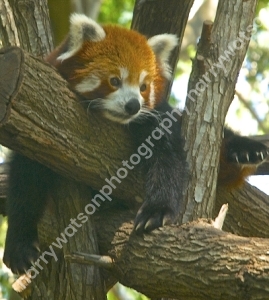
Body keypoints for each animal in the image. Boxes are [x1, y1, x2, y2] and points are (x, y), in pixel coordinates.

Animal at [4, 14, 268, 274]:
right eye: (114, 80)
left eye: (143, 87)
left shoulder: (156, 117)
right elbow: (25, 179)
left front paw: (156, 211)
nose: (133, 105)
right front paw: (20, 244)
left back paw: (244, 152)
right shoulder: (40, 118)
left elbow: (168, 158)